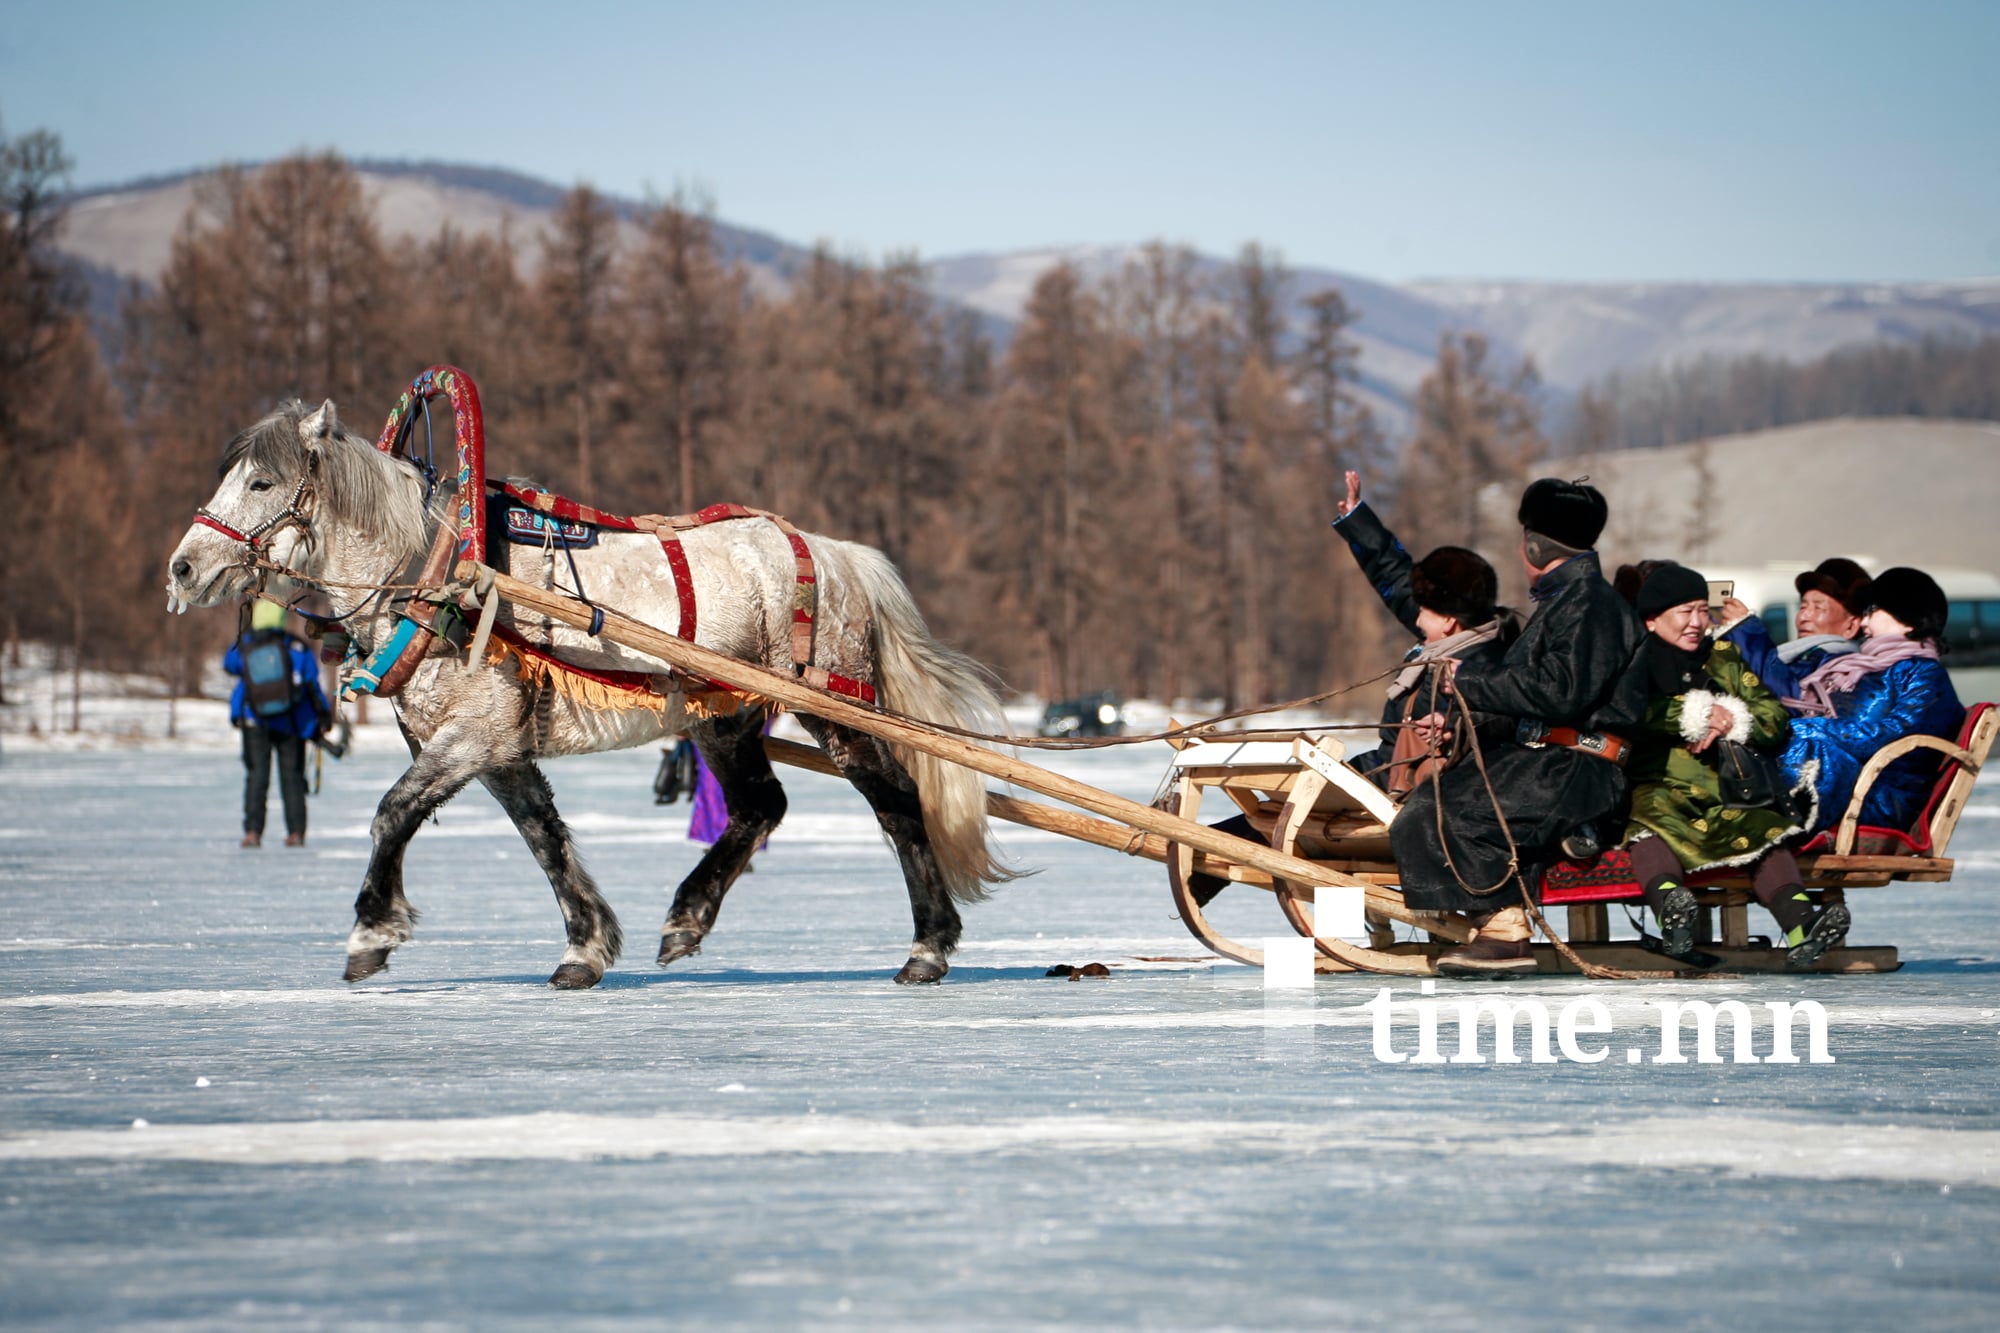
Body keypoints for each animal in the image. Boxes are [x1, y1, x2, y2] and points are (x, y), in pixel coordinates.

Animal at [168, 400, 1016, 980]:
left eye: (261, 479)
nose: (181, 568)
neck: (438, 571)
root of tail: (836, 552)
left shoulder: (471, 735)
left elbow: (391, 814)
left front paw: (372, 930)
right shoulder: (497, 745)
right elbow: (544, 836)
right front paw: (587, 943)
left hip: (830, 707)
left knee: (898, 801)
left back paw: (928, 945)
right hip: (724, 717)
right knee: (759, 806)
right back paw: (687, 918)